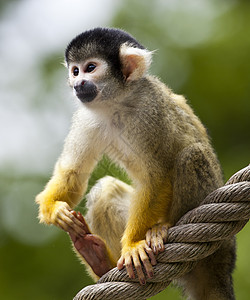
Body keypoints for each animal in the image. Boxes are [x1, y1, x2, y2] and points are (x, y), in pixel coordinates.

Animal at [36, 27, 235, 298]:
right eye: (75, 70)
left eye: (90, 68)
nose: (77, 83)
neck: (117, 102)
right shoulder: (87, 118)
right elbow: (74, 172)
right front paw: (54, 208)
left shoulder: (149, 111)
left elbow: (157, 176)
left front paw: (132, 246)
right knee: (104, 190)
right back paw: (100, 261)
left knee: (192, 155)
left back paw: (163, 227)